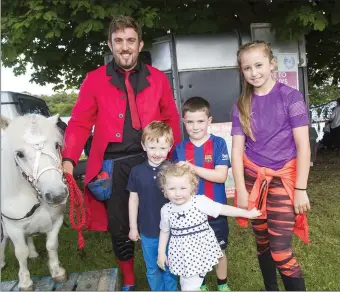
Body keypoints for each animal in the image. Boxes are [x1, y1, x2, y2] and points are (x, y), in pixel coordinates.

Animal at [0, 113, 68, 290]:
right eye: (19, 154)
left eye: (57, 145)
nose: (57, 195)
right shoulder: (13, 228)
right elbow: (20, 253)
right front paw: (25, 282)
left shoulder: (57, 220)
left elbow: (51, 245)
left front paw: (57, 271)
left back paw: (33, 253)